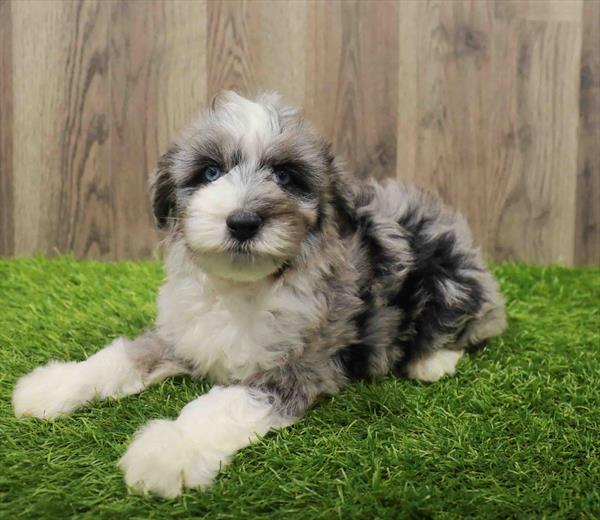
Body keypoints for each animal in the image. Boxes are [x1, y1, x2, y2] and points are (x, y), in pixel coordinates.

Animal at [11, 91, 504, 498]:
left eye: (286, 176)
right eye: (210, 172)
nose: (243, 222)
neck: (240, 285)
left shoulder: (299, 367)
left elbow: (219, 406)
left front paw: (168, 449)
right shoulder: (179, 335)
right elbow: (119, 356)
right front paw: (53, 385)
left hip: (448, 275)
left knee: (473, 318)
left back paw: (431, 361)